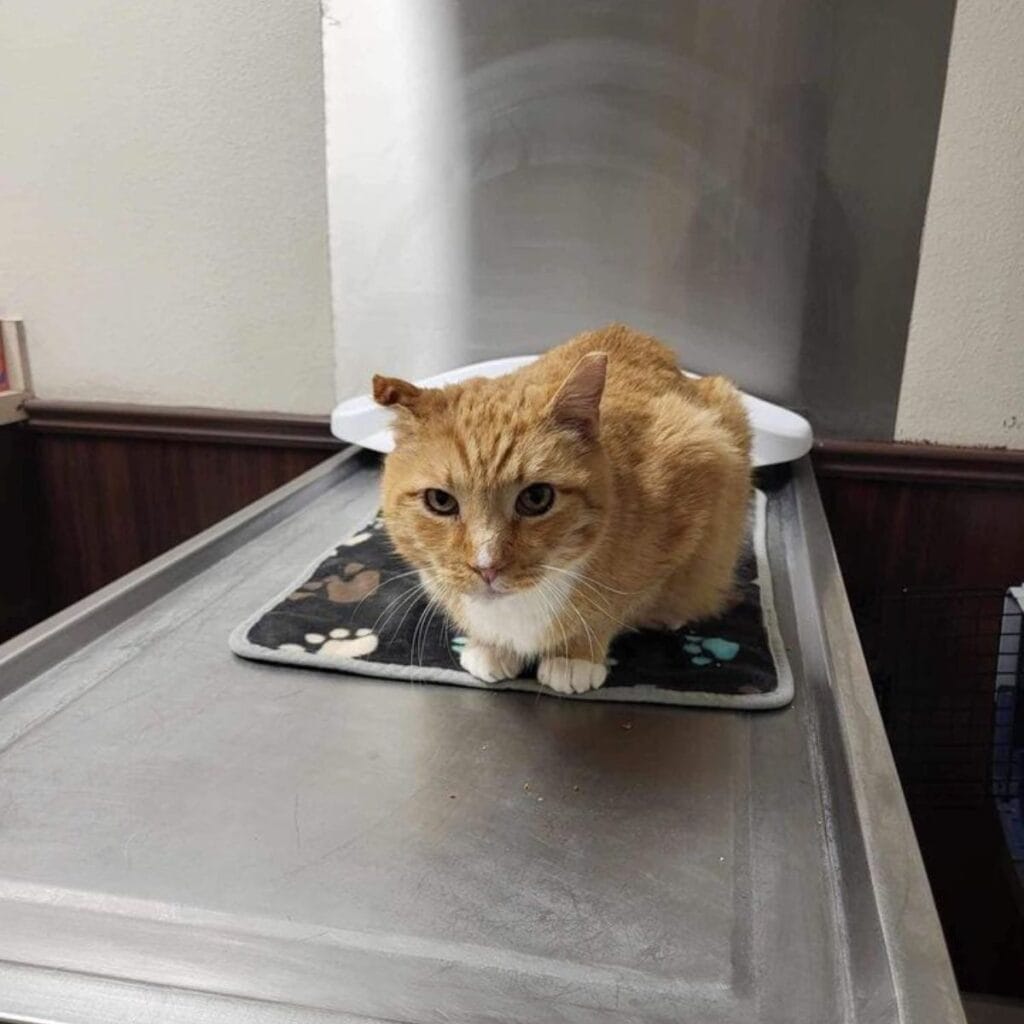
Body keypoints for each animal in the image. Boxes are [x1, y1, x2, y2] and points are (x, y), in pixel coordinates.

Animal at [372, 323, 752, 694]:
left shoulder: (703, 459)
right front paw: (489, 646)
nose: (487, 567)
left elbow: (615, 606)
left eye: (536, 498)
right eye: (440, 501)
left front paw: (575, 656)